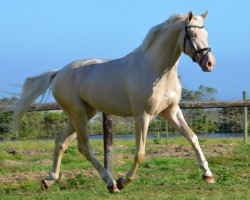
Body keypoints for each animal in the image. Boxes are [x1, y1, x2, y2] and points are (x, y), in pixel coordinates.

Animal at [11, 10, 215, 192]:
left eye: (207, 34)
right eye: (193, 34)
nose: (209, 64)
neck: (156, 70)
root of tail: (59, 72)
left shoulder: (171, 111)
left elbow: (193, 138)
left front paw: (208, 175)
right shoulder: (142, 115)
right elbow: (140, 153)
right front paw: (124, 180)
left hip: (85, 113)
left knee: (61, 142)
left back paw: (49, 180)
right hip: (78, 114)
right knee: (84, 147)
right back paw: (111, 183)